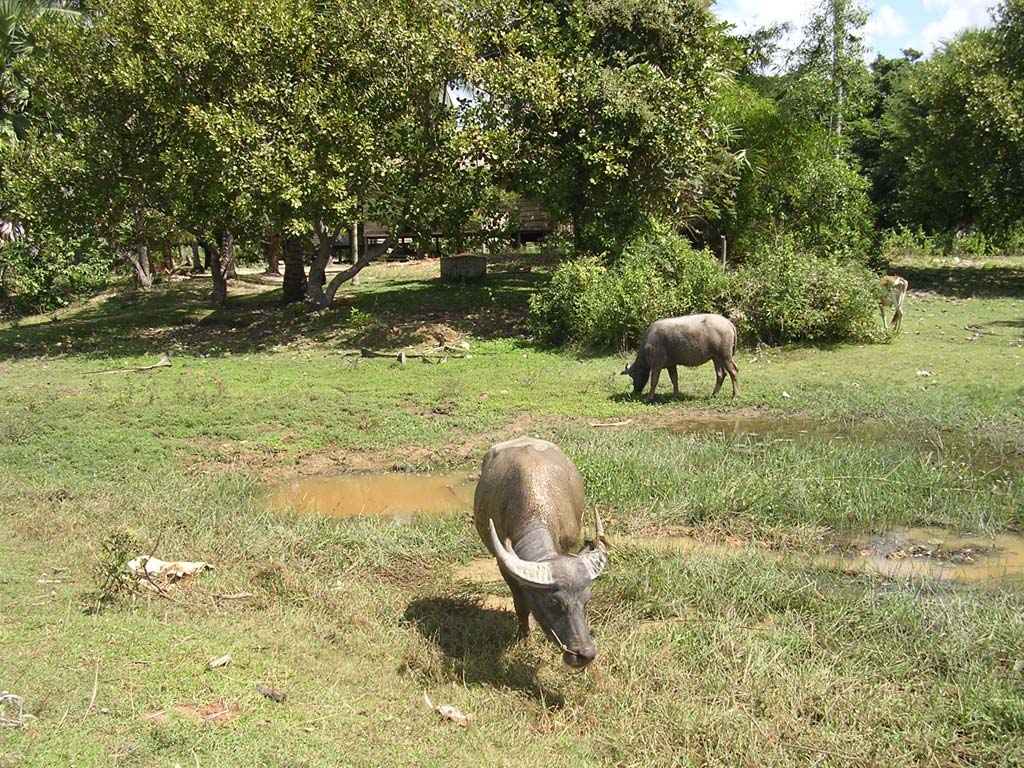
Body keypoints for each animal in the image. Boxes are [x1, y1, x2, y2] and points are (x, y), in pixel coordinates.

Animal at [473, 438, 606, 667]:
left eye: (587, 600)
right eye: (554, 603)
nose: (584, 655)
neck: (535, 511)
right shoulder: (504, 566)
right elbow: (521, 604)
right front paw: (525, 636)